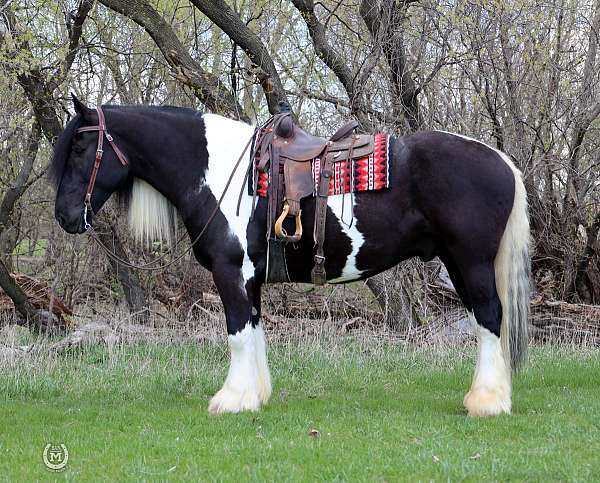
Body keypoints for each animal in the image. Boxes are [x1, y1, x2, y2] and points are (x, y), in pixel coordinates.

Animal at [51, 97, 528, 416]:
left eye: (79, 149)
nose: (65, 216)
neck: (218, 171)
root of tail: (502, 161)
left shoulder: (230, 273)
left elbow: (237, 333)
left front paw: (230, 400)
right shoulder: (250, 278)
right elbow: (254, 330)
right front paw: (254, 394)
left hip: (470, 262)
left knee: (489, 316)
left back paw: (486, 402)